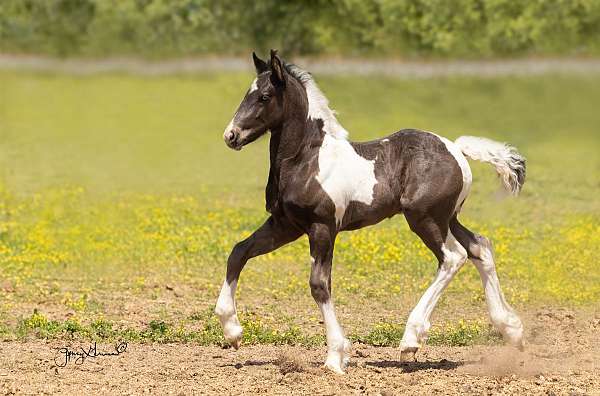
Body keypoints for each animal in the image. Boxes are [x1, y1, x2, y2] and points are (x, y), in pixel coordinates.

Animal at [216, 50, 524, 374]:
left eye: (264, 96)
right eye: (247, 93)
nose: (231, 135)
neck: (306, 160)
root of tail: (455, 149)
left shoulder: (323, 227)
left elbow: (319, 285)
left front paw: (336, 355)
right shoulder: (285, 225)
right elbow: (239, 252)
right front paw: (232, 331)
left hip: (425, 218)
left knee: (453, 257)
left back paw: (411, 339)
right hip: (447, 218)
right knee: (480, 247)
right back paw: (511, 329)